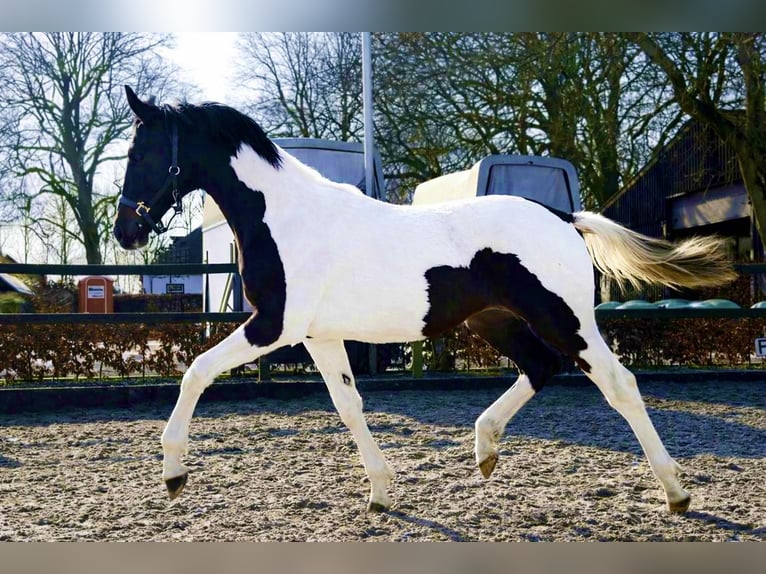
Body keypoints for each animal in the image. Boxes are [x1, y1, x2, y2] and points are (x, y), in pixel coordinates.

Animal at [114, 85, 735, 514]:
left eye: (139, 154)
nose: (126, 233)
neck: (284, 217)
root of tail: (563, 217)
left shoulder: (274, 326)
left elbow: (196, 371)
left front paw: (173, 474)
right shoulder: (319, 335)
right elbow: (348, 404)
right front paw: (381, 492)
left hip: (567, 319)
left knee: (618, 383)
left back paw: (676, 493)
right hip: (496, 321)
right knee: (540, 367)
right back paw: (484, 451)